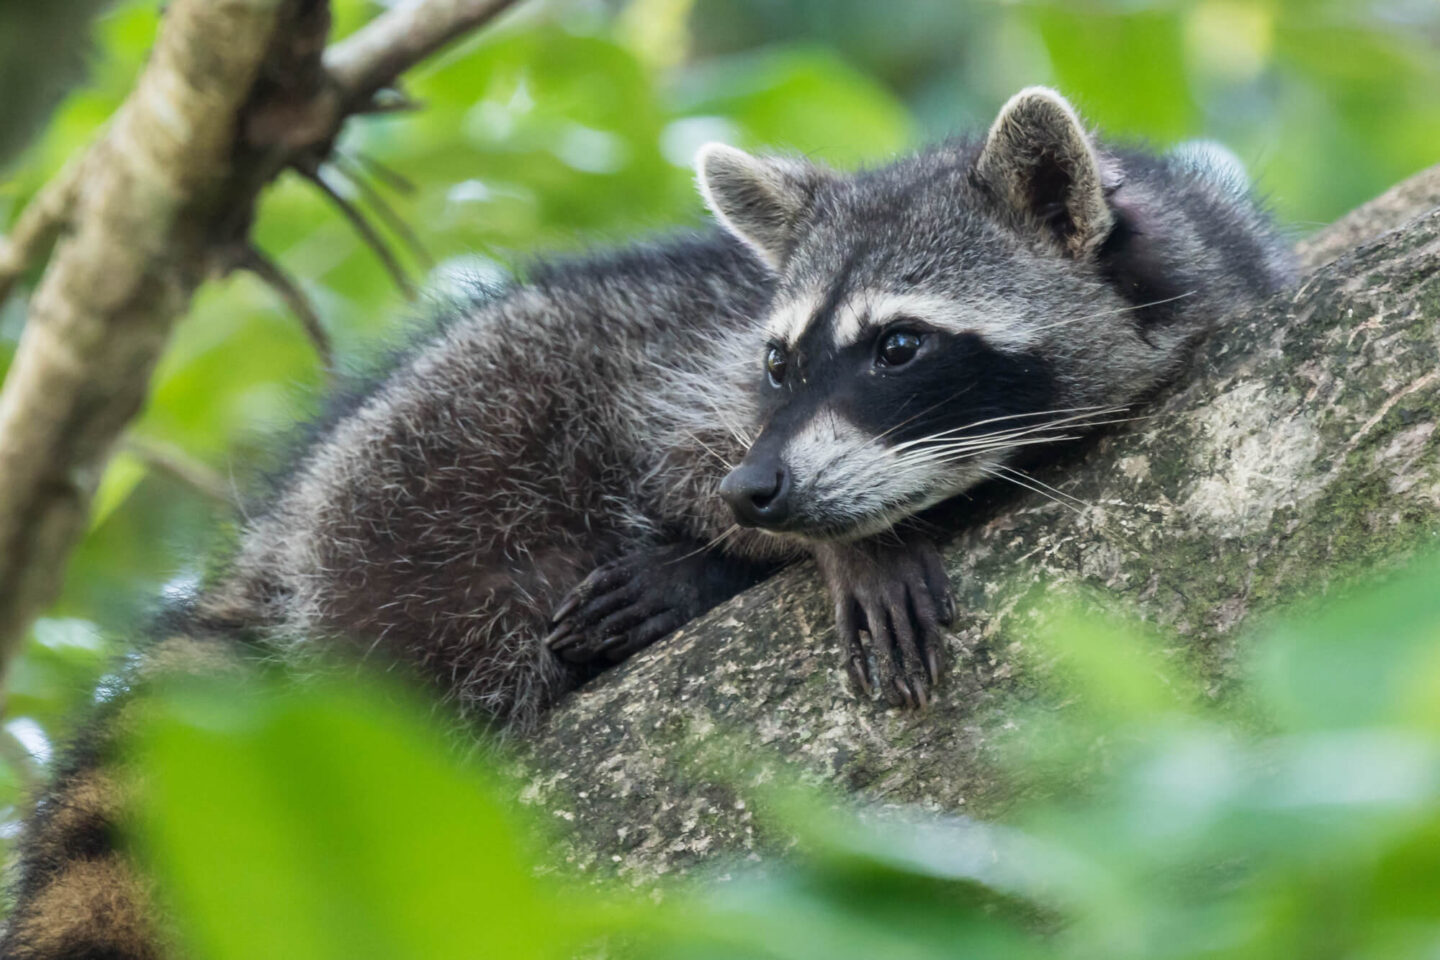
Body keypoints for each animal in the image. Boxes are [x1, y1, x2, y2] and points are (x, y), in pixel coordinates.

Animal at [2, 86, 1296, 955]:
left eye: (899, 346)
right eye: (779, 361)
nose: (758, 497)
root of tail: (283, 524)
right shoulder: (697, 376)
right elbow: (681, 457)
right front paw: (838, 544)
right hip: (428, 470)